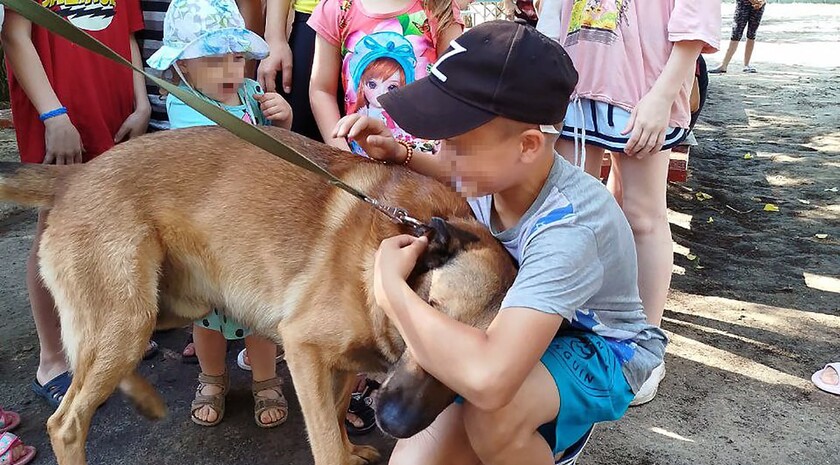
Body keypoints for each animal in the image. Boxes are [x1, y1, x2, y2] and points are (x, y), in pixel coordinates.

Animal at [0, 126, 520, 464]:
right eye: (426, 313)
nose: (393, 421)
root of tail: (75, 175)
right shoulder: (304, 349)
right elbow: (326, 443)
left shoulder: (337, 366)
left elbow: (335, 415)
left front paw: (351, 446)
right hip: (126, 322)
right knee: (66, 423)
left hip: (161, 310)